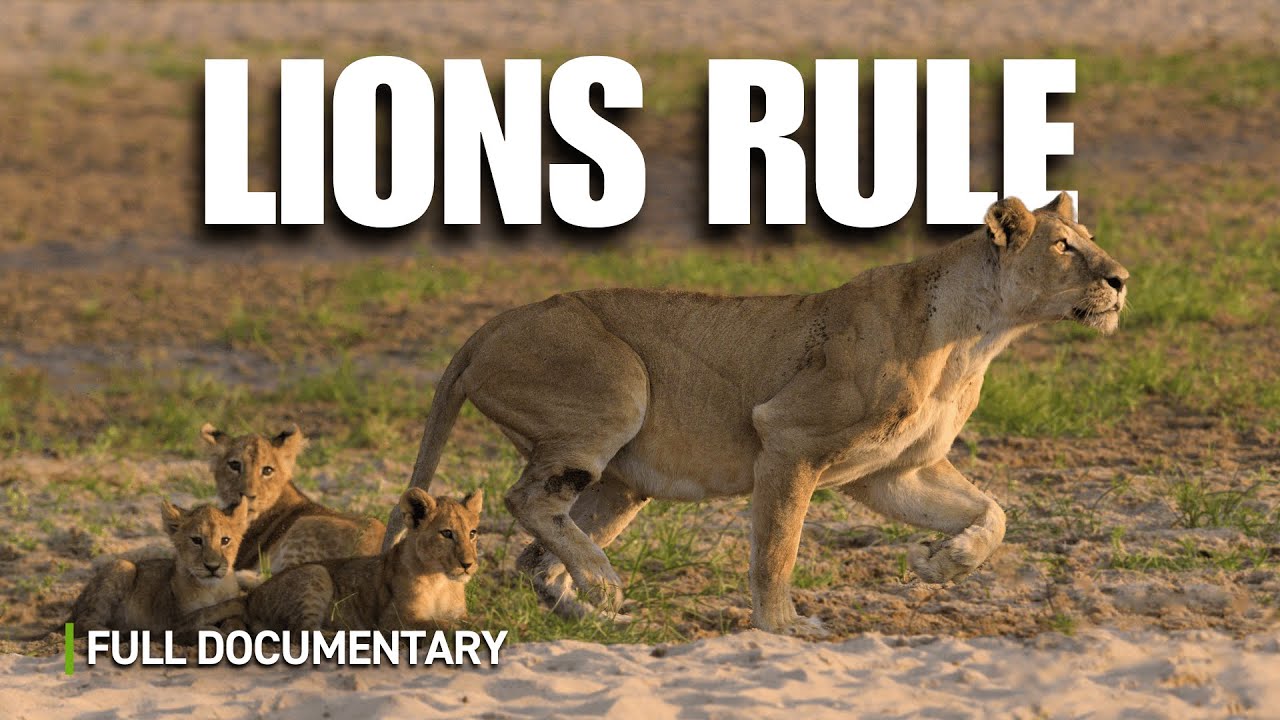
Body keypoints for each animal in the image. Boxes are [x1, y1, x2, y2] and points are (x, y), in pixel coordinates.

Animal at [70, 501, 248, 641]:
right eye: (197, 540)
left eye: (225, 540)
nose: (212, 567)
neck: (212, 588)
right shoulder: (172, 623)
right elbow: (203, 615)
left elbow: (236, 622)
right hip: (122, 566)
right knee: (82, 623)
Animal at [245, 488, 482, 632]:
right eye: (447, 533)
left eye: (472, 533)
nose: (468, 565)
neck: (442, 581)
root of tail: (252, 597)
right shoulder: (393, 621)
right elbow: (442, 625)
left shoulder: (460, 613)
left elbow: (475, 621)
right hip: (316, 572)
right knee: (302, 632)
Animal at [381, 193, 1128, 634]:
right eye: (1063, 246)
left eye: (1090, 236)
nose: (1121, 278)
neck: (977, 339)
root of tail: (491, 323)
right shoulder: (788, 439)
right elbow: (778, 549)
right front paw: (783, 629)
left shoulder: (891, 472)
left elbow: (992, 514)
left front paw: (944, 564)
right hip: (617, 391)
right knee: (524, 501)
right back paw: (604, 585)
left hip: (623, 484)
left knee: (537, 550)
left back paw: (592, 610)